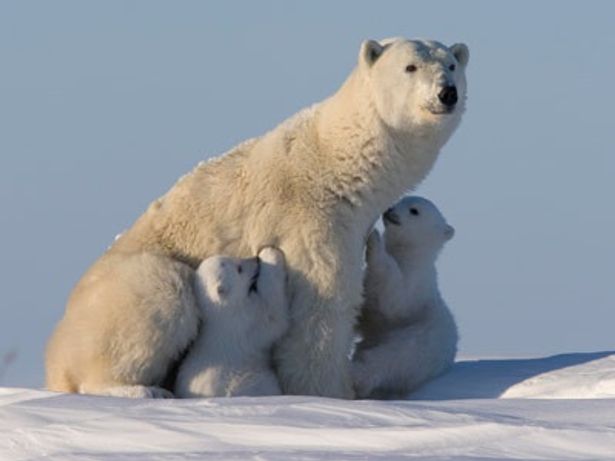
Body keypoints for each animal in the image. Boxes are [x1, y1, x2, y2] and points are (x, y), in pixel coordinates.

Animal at [173, 246, 288, 398]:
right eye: (239, 269)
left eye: (234, 258)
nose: (255, 259)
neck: (219, 311)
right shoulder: (245, 322)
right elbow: (273, 315)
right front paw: (270, 253)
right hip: (249, 379)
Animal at [354, 196, 460, 398]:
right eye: (401, 199)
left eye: (414, 210)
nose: (389, 210)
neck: (410, 255)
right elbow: (367, 311)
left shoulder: (415, 288)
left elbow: (394, 300)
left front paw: (374, 239)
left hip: (416, 347)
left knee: (388, 359)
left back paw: (357, 375)